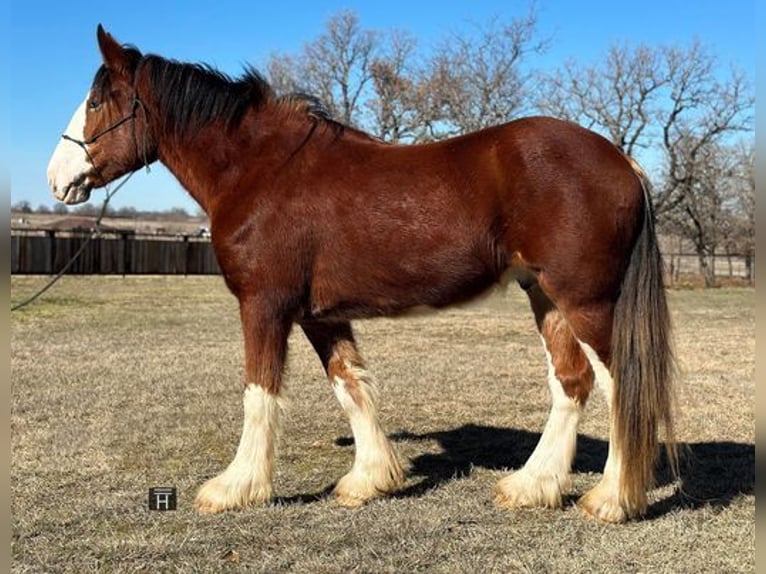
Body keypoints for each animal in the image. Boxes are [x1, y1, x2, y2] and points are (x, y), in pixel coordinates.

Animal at [46, 24, 680, 524]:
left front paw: (236, 488)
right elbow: (351, 386)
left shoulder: (264, 305)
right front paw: (369, 480)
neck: (262, 169)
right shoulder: (319, 314)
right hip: (545, 297)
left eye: (99, 101)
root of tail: (622, 160)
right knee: (572, 382)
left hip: (587, 301)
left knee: (622, 385)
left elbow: (259, 392)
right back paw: (531, 486)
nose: (57, 178)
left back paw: (611, 500)